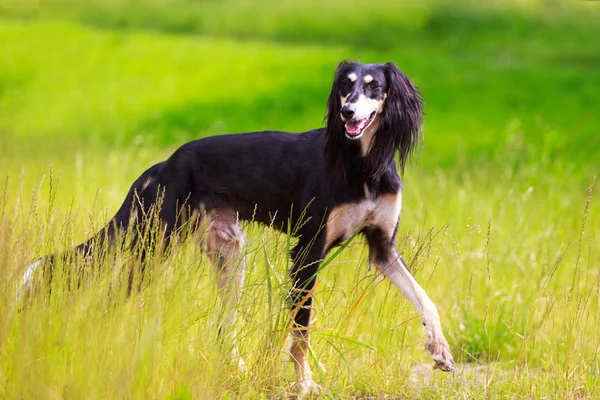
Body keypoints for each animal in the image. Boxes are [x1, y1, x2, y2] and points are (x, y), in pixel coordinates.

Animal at [21, 61, 458, 396]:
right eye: (345, 87)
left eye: (374, 87)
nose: (348, 113)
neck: (365, 166)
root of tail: (165, 164)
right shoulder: (307, 251)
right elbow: (301, 331)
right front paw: (303, 384)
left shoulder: (382, 248)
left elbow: (426, 299)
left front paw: (440, 350)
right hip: (152, 245)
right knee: (112, 297)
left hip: (229, 251)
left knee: (221, 326)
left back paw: (236, 366)